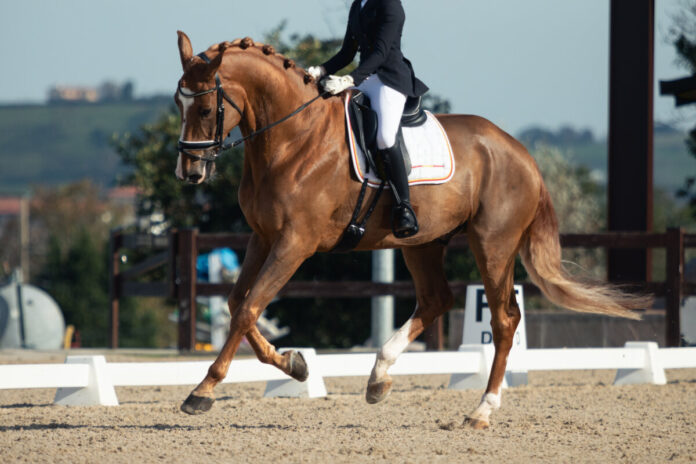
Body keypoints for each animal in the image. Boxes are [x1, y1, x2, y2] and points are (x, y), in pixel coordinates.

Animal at [173, 31, 651, 429]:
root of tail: (521, 153)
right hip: (422, 242)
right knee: (437, 300)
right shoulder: (263, 237)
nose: (188, 174)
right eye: (178, 105)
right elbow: (238, 303)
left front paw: (203, 391)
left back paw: (481, 411)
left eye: (204, 108)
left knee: (503, 320)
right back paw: (378, 378)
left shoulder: (295, 243)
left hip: (492, 244)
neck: (293, 138)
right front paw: (296, 365)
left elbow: (249, 308)